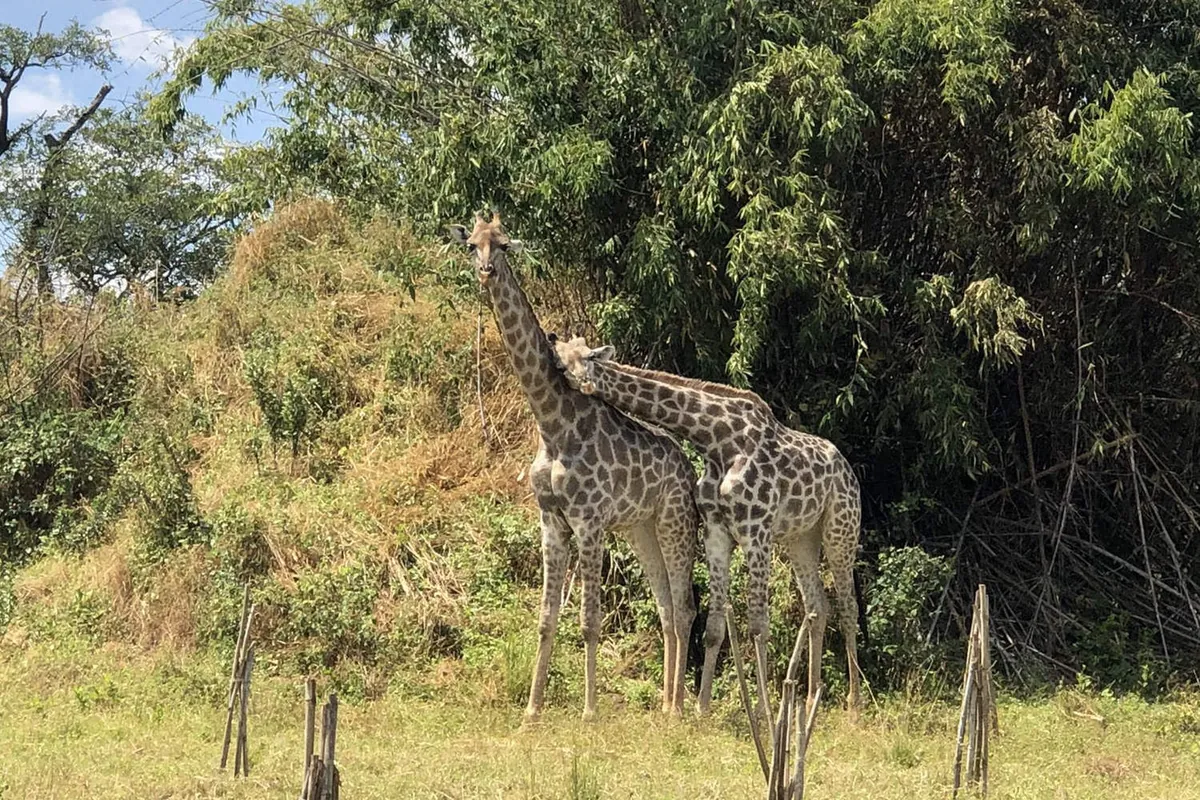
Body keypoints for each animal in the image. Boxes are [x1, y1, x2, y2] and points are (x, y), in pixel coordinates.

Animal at [449, 213, 698, 721]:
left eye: (504, 245)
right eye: (471, 245)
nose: (486, 271)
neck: (551, 423)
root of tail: (687, 469)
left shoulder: (588, 519)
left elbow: (588, 621)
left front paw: (589, 711)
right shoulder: (551, 519)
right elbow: (545, 620)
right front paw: (531, 711)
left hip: (675, 521)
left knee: (684, 607)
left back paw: (678, 709)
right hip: (640, 528)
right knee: (665, 606)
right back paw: (665, 703)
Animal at [552, 335, 863, 719]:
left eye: (577, 358)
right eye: (561, 355)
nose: (556, 364)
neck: (717, 441)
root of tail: (848, 469)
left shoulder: (755, 531)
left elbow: (758, 625)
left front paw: (761, 709)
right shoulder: (716, 532)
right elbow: (715, 627)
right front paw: (702, 707)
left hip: (841, 529)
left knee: (848, 608)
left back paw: (853, 704)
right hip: (800, 538)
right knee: (818, 606)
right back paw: (809, 698)